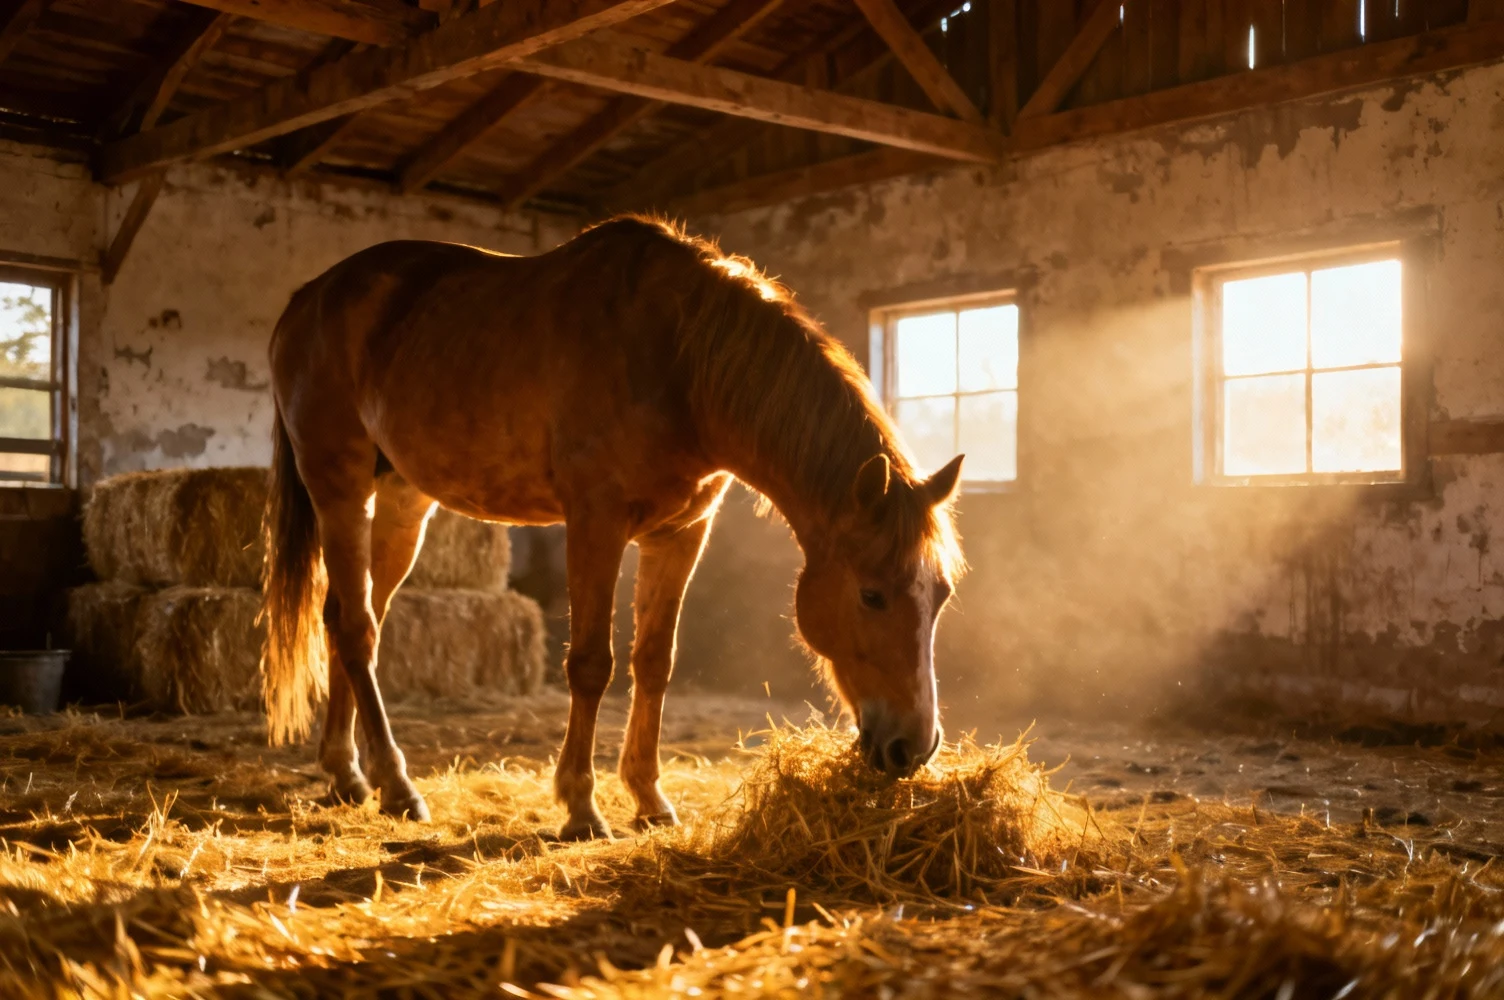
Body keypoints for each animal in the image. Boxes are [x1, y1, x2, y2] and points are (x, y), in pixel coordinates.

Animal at [260, 216, 966, 840]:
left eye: (942, 596)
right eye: (871, 594)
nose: (913, 747)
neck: (681, 360)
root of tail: (305, 301)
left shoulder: (680, 533)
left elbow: (653, 660)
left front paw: (650, 800)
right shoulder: (594, 522)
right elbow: (591, 663)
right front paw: (581, 806)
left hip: (404, 501)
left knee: (346, 620)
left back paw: (347, 775)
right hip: (340, 486)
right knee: (356, 629)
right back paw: (396, 784)